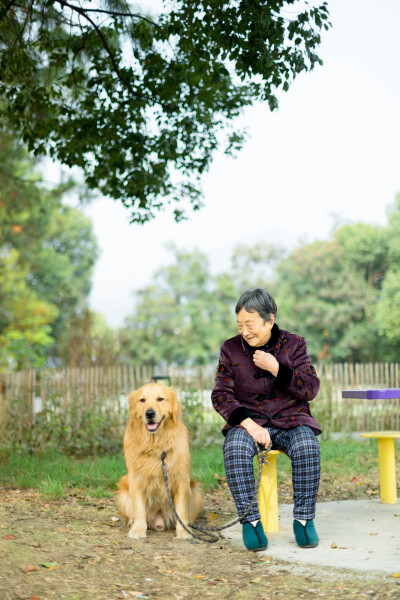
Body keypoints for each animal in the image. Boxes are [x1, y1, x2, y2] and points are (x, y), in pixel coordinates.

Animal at [115, 384, 203, 540]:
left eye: (160, 399)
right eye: (142, 400)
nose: (149, 413)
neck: (156, 445)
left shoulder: (181, 480)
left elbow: (181, 510)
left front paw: (183, 531)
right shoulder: (136, 479)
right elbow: (139, 508)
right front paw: (138, 529)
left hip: (196, 491)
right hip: (124, 494)